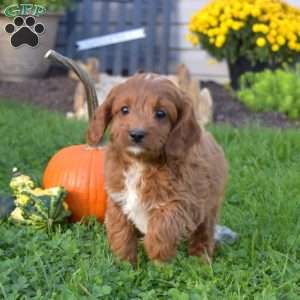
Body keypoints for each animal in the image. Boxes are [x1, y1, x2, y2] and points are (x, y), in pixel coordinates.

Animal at [86, 74, 227, 264]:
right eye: (124, 110)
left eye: (161, 113)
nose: (136, 134)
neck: (141, 163)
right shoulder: (118, 200)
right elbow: (121, 232)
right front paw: (124, 263)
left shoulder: (183, 202)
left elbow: (162, 227)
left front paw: (158, 260)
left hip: (209, 207)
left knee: (203, 234)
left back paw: (200, 261)